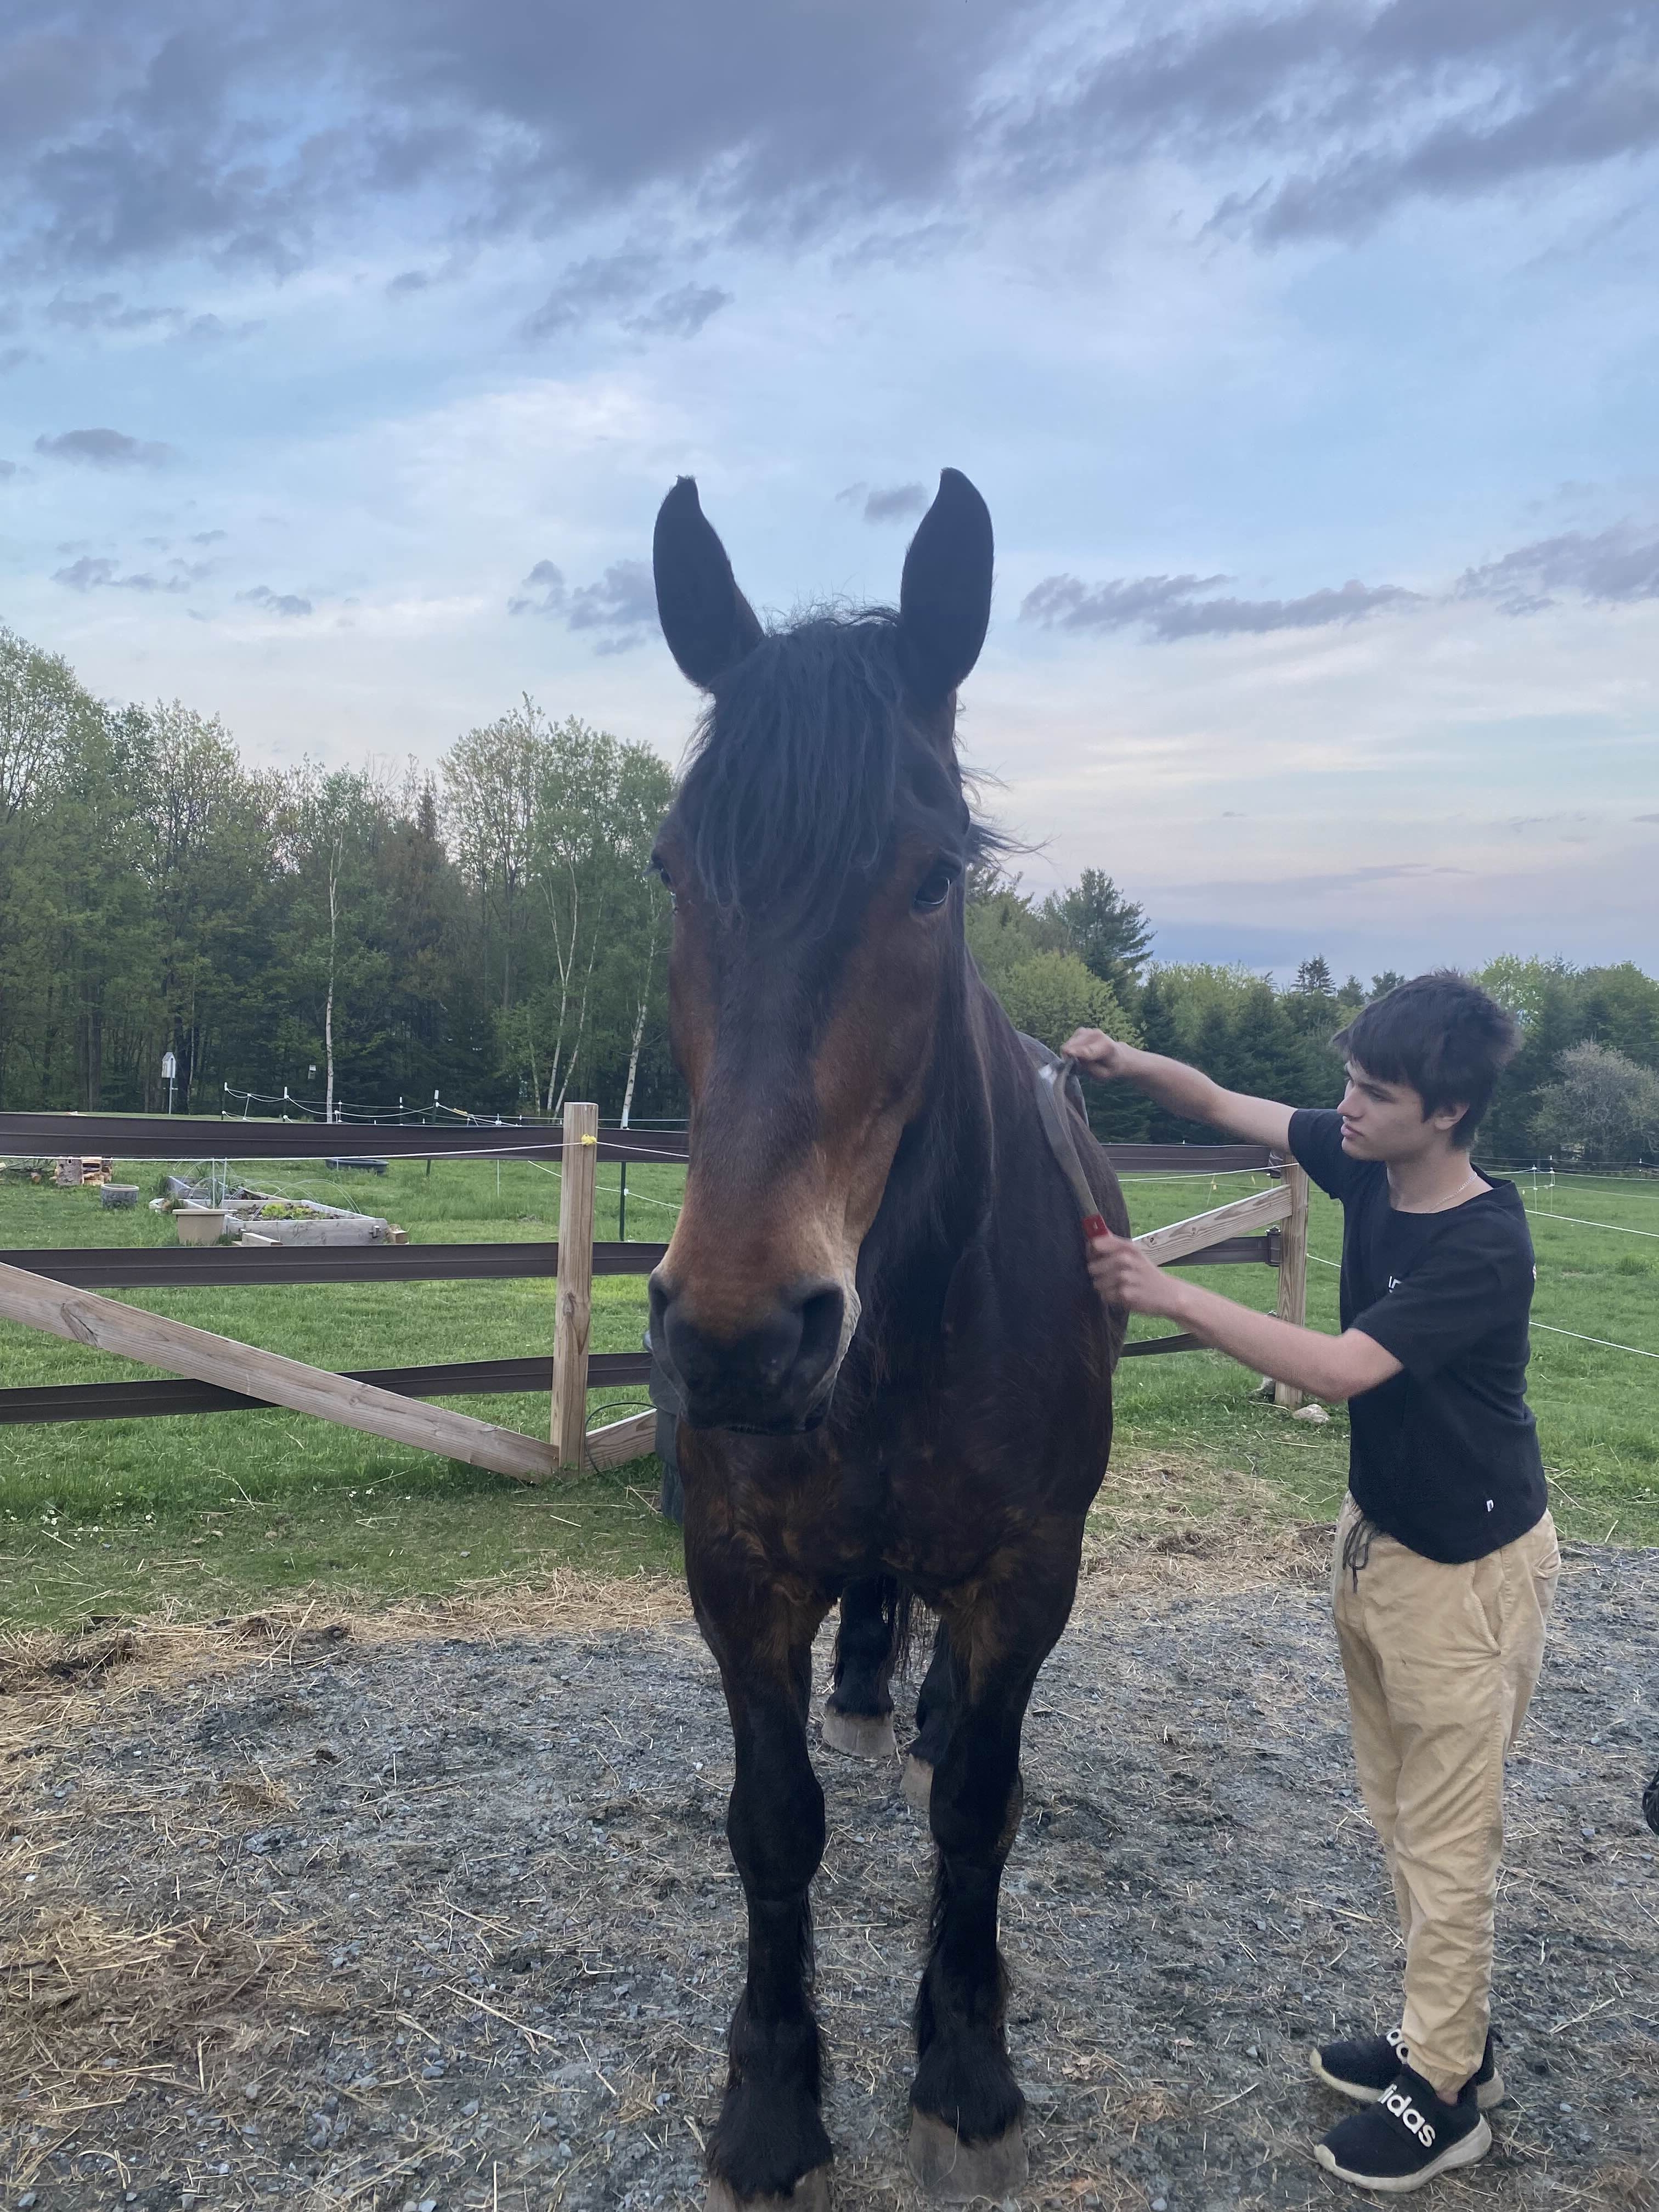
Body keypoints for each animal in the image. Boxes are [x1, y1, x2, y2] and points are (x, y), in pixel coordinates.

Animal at [647, 467, 1130, 2209]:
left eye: (931, 877)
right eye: (670, 867)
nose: (741, 1333)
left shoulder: (1028, 1570)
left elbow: (980, 1809)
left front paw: (966, 2070)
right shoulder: (734, 1571)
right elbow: (772, 1822)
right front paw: (773, 2100)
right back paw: (866, 1685)